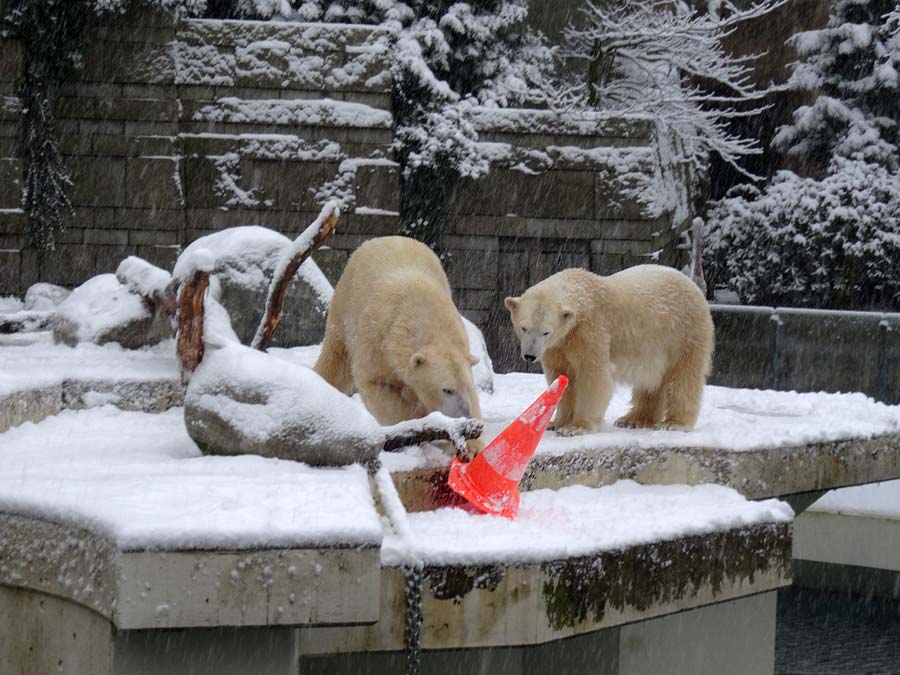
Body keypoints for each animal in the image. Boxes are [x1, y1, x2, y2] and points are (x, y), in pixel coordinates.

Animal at [316, 236, 486, 454]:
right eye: (447, 389)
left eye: (467, 387)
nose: (464, 414)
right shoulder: (376, 345)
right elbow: (378, 386)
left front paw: (472, 448)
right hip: (344, 307)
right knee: (335, 362)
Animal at [506, 264, 712, 434]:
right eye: (524, 327)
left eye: (545, 331)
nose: (530, 355)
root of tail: (694, 287)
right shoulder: (558, 346)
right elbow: (562, 377)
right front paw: (556, 423)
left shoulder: (590, 331)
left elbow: (592, 376)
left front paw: (576, 427)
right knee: (650, 382)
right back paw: (634, 420)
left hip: (683, 334)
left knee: (684, 376)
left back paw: (674, 423)